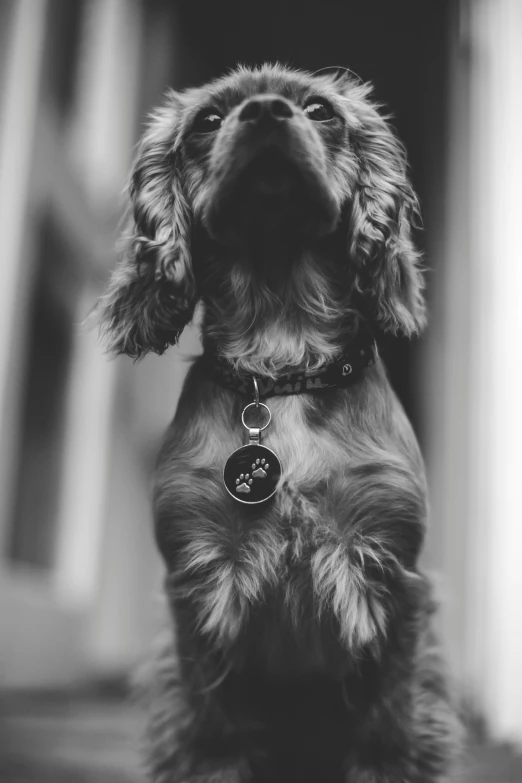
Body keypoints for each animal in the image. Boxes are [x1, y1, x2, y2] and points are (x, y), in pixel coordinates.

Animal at [97, 64, 460, 780]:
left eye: (320, 111)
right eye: (208, 121)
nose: (266, 113)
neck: (284, 365)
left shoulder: (391, 576)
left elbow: (387, 729)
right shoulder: (199, 584)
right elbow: (215, 733)